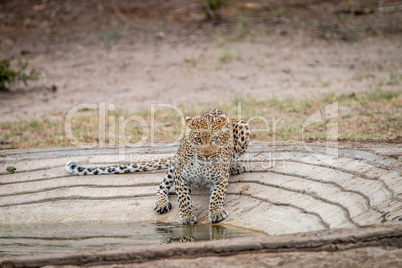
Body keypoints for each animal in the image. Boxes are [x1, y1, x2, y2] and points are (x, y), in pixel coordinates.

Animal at [64, 109, 250, 224]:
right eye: (198, 140)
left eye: (214, 139)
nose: (206, 155)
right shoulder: (181, 176)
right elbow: (183, 198)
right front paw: (187, 217)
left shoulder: (220, 177)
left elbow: (217, 195)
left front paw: (216, 212)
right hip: (174, 165)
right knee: (161, 186)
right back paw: (162, 202)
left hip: (244, 125)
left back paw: (235, 166)